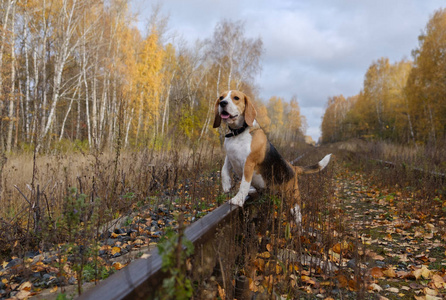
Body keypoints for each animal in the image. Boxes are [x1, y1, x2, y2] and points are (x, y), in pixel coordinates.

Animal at [213, 90, 332, 224]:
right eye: (221, 97)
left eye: (236, 98)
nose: (223, 103)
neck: (237, 133)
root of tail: (293, 167)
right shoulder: (230, 155)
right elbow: (224, 170)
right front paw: (226, 185)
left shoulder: (249, 163)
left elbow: (244, 183)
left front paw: (238, 199)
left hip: (293, 199)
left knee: (298, 216)